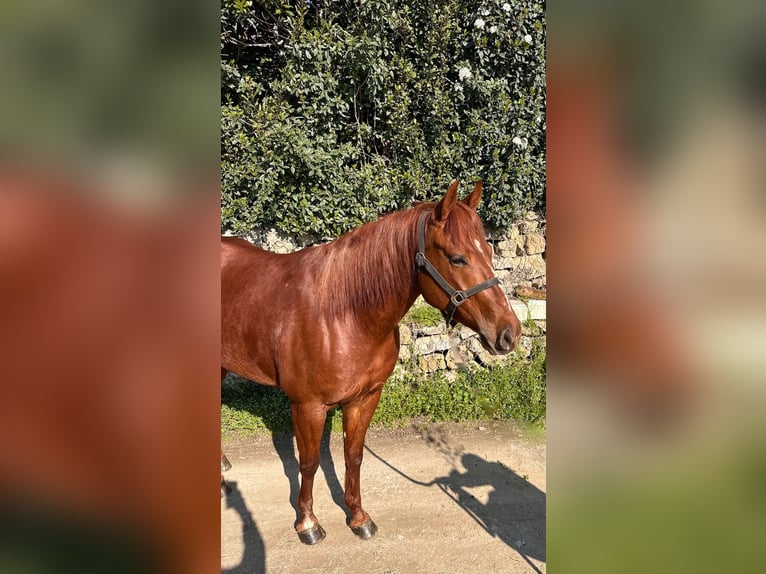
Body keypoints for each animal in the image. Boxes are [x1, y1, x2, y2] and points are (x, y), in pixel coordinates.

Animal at [220, 180, 521, 544]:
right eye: (458, 258)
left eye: (490, 253)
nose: (509, 333)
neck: (343, 315)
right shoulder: (307, 405)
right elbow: (309, 463)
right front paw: (308, 523)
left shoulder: (365, 398)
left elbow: (353, 456)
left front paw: (358, 517)